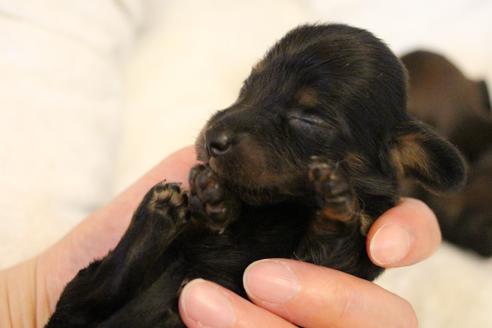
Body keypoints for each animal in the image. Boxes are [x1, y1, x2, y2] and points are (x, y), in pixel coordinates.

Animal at [46, 24, 466, 326]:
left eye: (308, 120)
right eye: (247, 88)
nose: (212, 139)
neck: (283, 206)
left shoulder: (334, 261)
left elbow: (331, 237)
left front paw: (333, 194)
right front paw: (210, 192)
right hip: (81, 288)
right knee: (102, 286)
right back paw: (156, 211)